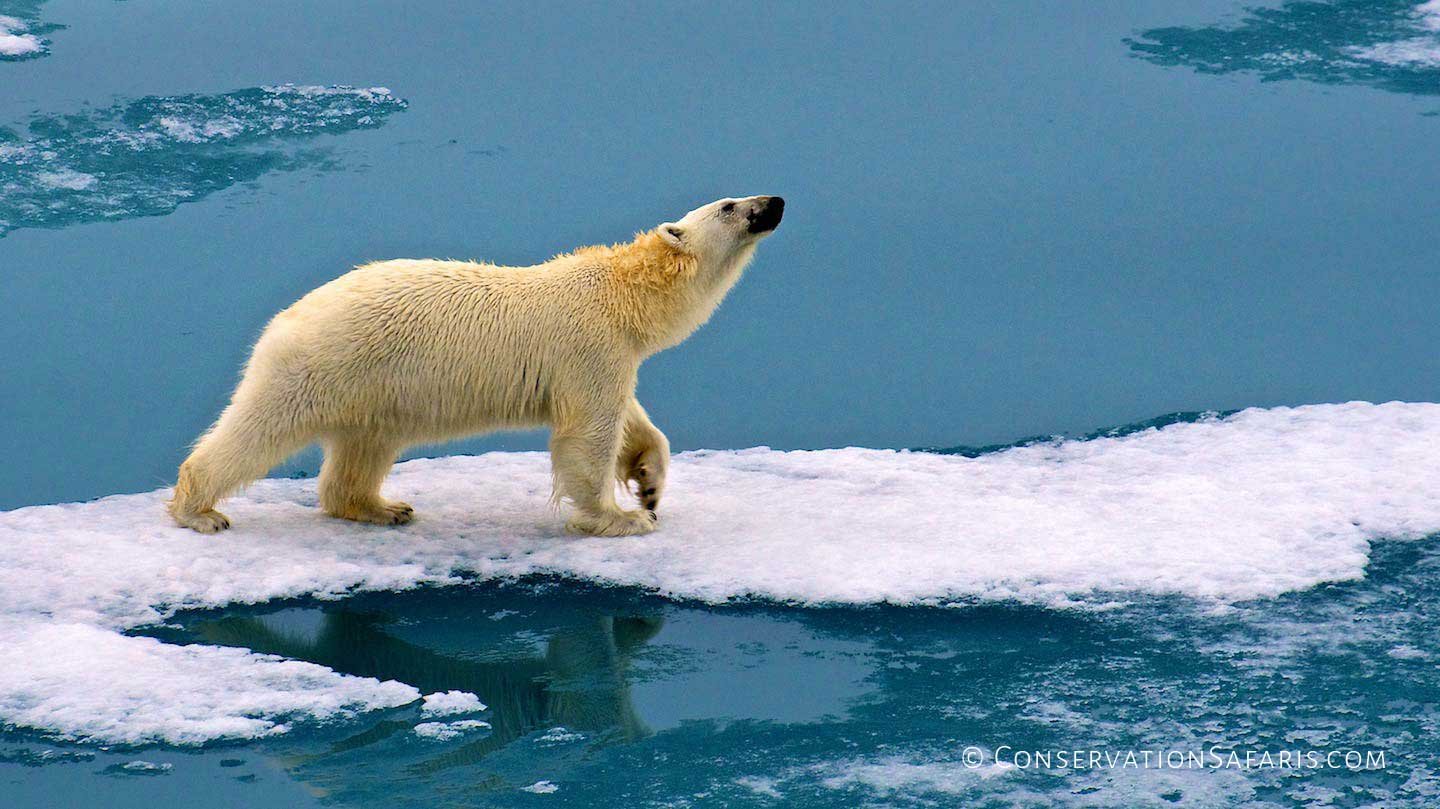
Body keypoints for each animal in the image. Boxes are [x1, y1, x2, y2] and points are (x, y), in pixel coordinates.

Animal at [168, 195, 789, 535]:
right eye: (731, 205)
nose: (777, 202)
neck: (620, 294)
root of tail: (286, 316)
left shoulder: (611, 356)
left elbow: (633, 420)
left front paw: (650, 485)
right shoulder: (587, 347)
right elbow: (587, 434)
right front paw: (619, 519)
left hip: (373, 387)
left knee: (364, 447)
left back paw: (383, 507)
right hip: (325, 363)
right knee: (259, 428)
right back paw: (199, 509)